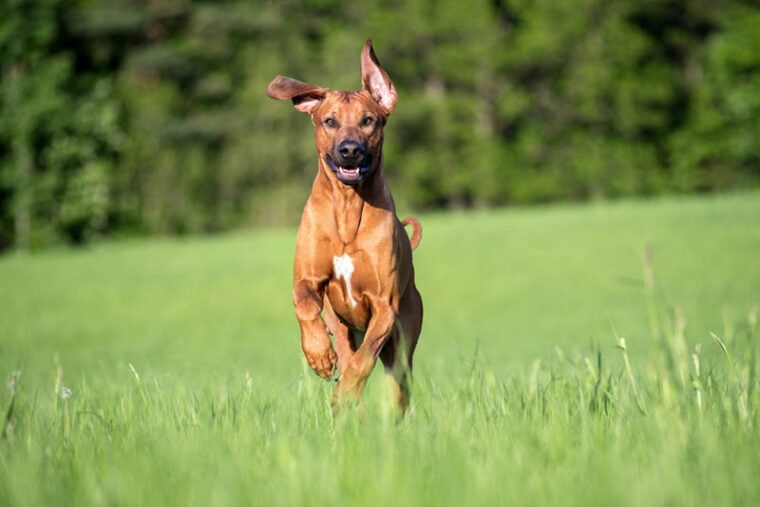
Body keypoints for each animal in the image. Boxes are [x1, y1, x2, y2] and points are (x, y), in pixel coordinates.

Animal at [266, 38, 422, 412]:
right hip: (344, 325)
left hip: (403, 344)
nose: (349, 150)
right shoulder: (307, 280)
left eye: (368, 121)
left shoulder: (384, 306)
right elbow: (306, 306)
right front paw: (319, 356)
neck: (348, 208)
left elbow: (363, 360)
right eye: (329, 121)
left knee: (394, 383)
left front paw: (346, 390)